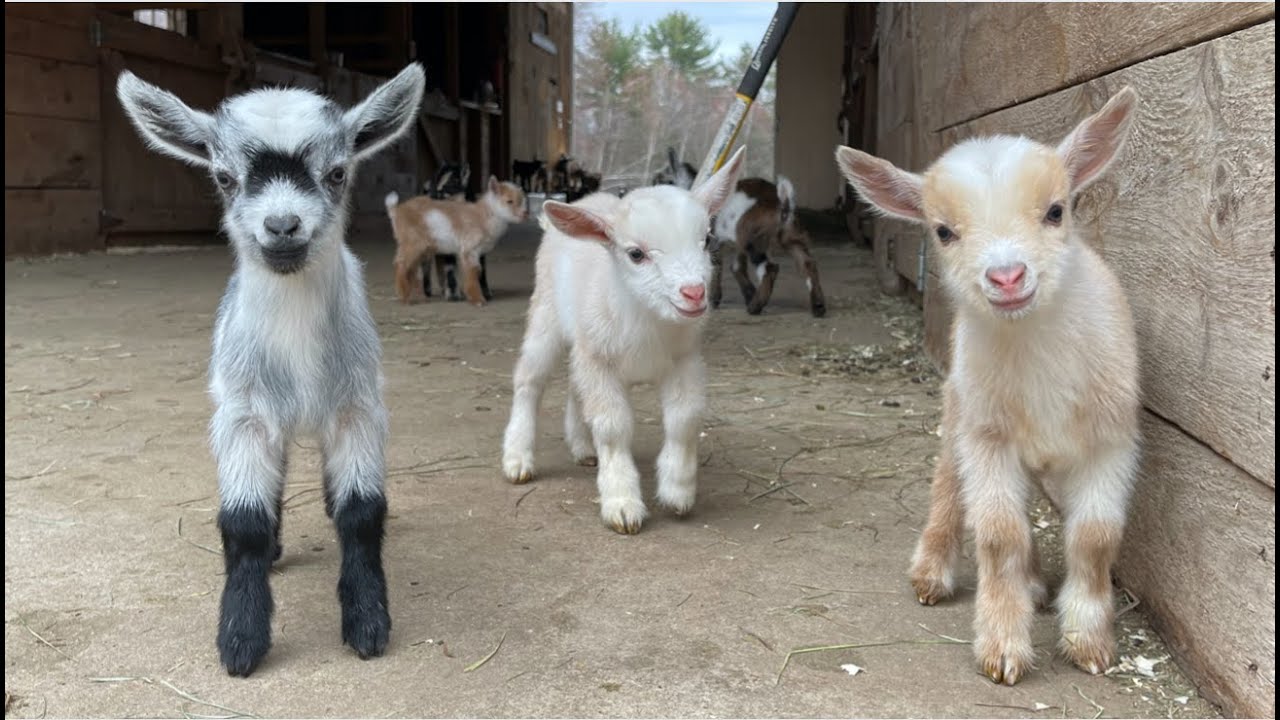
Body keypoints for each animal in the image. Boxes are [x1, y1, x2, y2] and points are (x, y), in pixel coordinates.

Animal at [116, 61, 424, 671]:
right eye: (223, 177)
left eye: (337, 173)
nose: (282, 226)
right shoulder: (243, 413)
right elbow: (245, 522)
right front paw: (240, 637)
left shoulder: (359, 406)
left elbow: (361, 512)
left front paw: (368, 621)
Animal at [494, 147, 747, 532]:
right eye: (636, 254)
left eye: (706, 240)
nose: (694, 293)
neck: (644, 319)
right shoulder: (600, 361)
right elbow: (613, 427)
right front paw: (622, 504)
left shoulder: (684, 359)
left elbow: (684, 419)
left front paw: (677, 491)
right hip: (546, 317)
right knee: (529, 380)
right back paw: (518, 458)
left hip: (583, 341)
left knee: (574, 384)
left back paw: (583, 448)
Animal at [834, 87, 1146, 681]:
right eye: (943, 231)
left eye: (1056, 210)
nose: (1006, 277)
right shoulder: (989, 437)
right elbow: (1000, 535)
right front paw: (1003, 646)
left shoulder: (1110, 438)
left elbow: (1095, 537)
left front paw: (1089, 641)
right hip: (961, 408)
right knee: (949, 486)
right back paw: (933, 571)